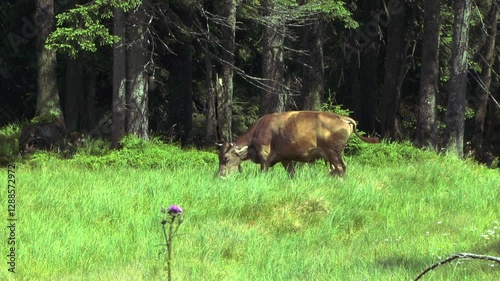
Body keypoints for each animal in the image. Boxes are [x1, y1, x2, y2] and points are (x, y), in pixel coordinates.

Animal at [218, 110, 378, 176]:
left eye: (225, 158)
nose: (220, 175)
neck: (257, 130)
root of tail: (343, 118)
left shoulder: (264, 156)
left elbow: (264, 171)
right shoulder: (286, 159)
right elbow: (291, 173)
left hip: (334, 153)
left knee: (341, 168)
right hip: (333, 155)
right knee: (336, 169)